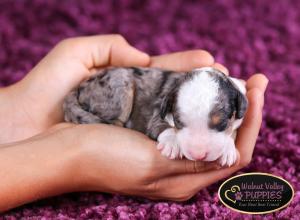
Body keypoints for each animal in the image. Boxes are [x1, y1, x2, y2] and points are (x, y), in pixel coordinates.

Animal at [62, 66, 246, 166]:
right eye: (179, 122)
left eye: (222, 123)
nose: (198, 155)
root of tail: (78, 87)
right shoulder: (158, 112)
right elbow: (161, 126)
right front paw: (172, 144)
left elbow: (232, 132)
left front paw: (228, 150)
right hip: (118, 89)